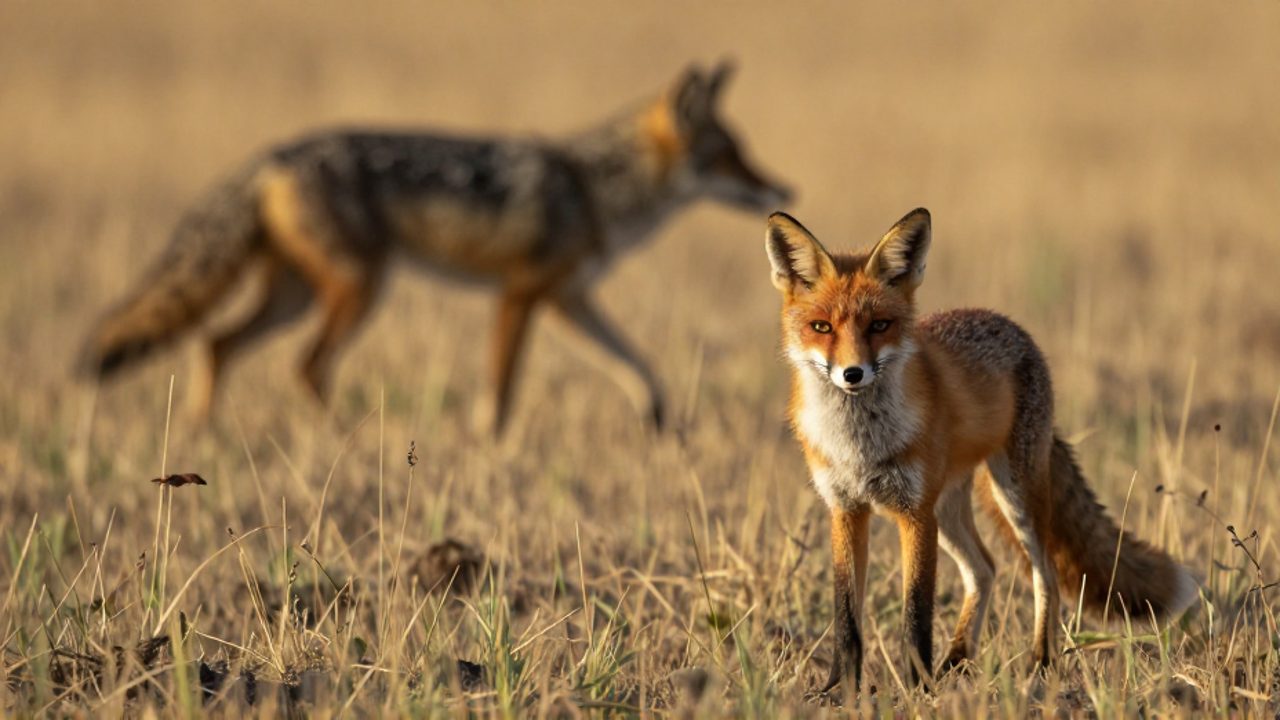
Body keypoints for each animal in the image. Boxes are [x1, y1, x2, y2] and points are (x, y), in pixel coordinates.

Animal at [81, 61, 790, 433]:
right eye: (730, 156)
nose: (784, 187)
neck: (592, 187)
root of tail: (271, 154)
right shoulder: (520, 296)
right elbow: (500, 391)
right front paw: (490, 446)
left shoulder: (569, 300)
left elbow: (636, 364)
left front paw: (660, 418)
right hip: (359, 291)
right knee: (304, 367)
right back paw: (343, 441)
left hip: (298, 297)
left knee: (214, 344)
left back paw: (202, 435)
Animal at [764, 209, 1197, 691]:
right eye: (821, 327)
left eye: (879, 325)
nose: (852, 373)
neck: (860, 445)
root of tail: (1006, 322)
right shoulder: (846, 510)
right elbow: (846, 616)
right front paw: (839, 690)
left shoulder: (915, 513)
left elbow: (916, 613)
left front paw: (918, 689)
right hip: (950, 509)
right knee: (985, 568)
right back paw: (957, 659)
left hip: (1013, 497)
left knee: (1044, 573)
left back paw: (1040, 663)